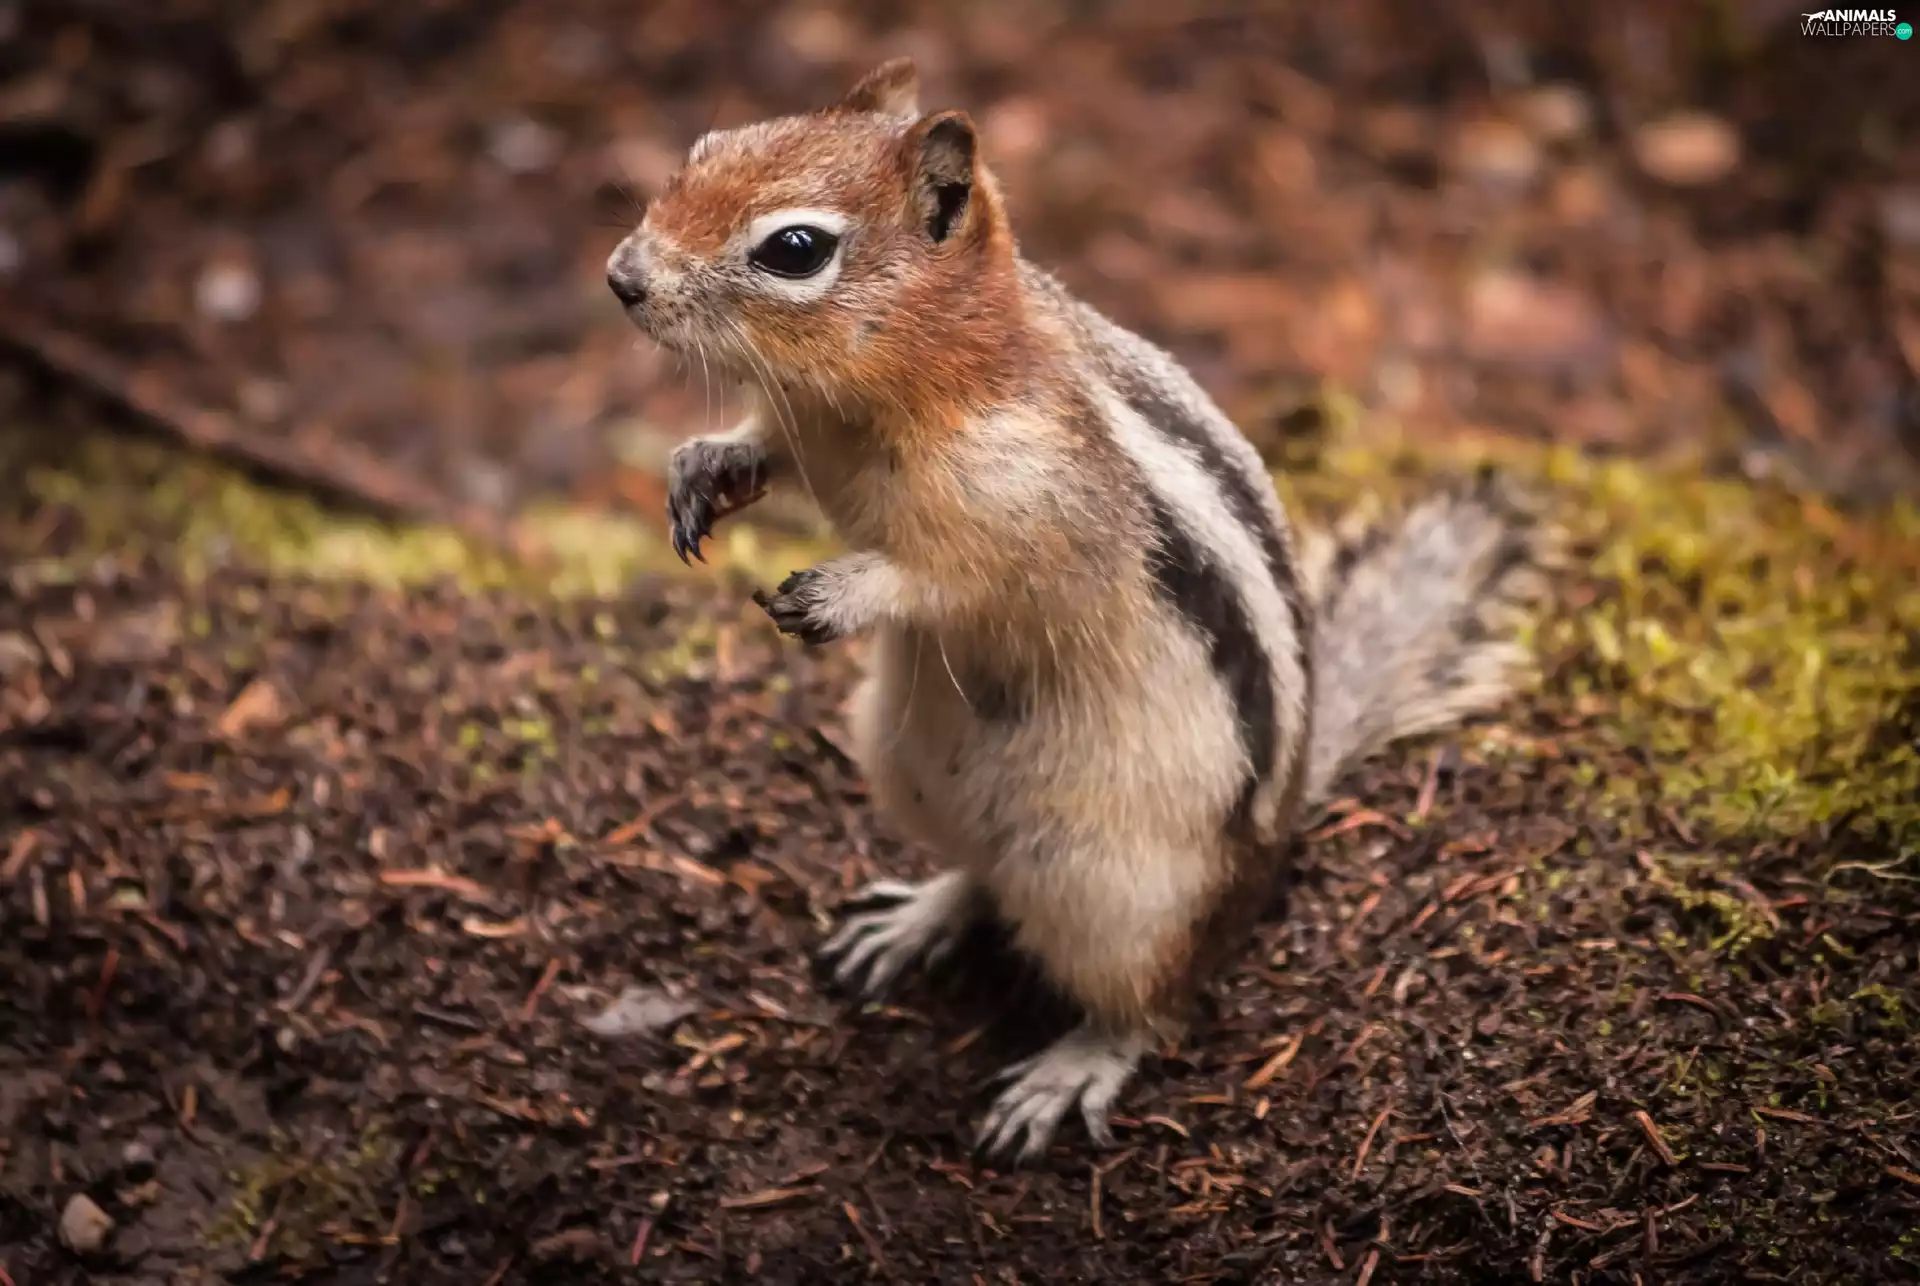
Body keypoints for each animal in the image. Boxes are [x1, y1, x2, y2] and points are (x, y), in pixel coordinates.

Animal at [607, 57, 1558, 1163]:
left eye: (794, 249)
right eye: (708, 145)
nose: (622, 276)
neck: (884, 386)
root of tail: (1272, 841)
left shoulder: (1035, 501)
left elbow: (953, 574)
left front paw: (844, 590)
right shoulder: (806, 427)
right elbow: (764, 447)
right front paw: (704, 464)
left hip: (1118, 888)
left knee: (1154, 998)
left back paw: (1077, 1063)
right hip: (904, 764)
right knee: (984, 878)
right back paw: (917, 916)